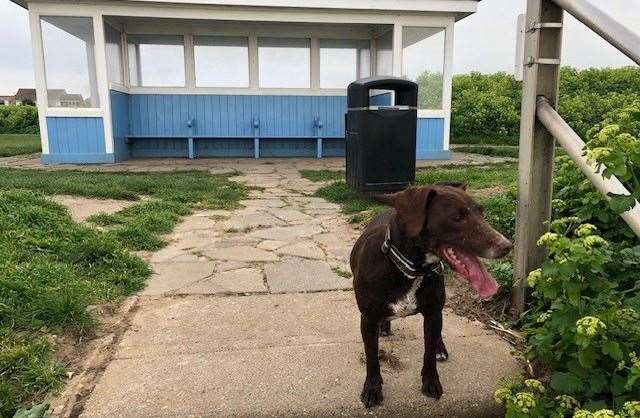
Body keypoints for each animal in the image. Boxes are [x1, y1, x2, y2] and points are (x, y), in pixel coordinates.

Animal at [350, 184, 510, 408]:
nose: (507, 246)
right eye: (457, 217)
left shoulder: (434, 313)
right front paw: (373, 389)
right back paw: (385, 327)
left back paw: (439, 348)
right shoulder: (368, 319)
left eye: (481, 211)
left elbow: (428, 352)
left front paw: (431, 382)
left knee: (436, 335)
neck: (411, 270)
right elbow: (372, 357)